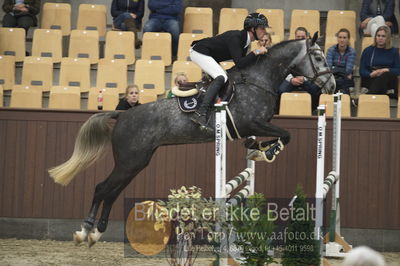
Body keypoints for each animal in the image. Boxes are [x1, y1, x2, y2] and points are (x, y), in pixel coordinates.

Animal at [47, 33, 334, 247]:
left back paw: (97, 232)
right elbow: (286, 133)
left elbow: (266, 139)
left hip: (136, 163)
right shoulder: (251, 123)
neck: (258, 80)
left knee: (112, 192)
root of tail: (123, 114)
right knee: (102, 189)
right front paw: (268, 152)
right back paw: (84, 232)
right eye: (318, 57)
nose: (332, 86)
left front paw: (257, 149)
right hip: (129, 161)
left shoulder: (250, 127)